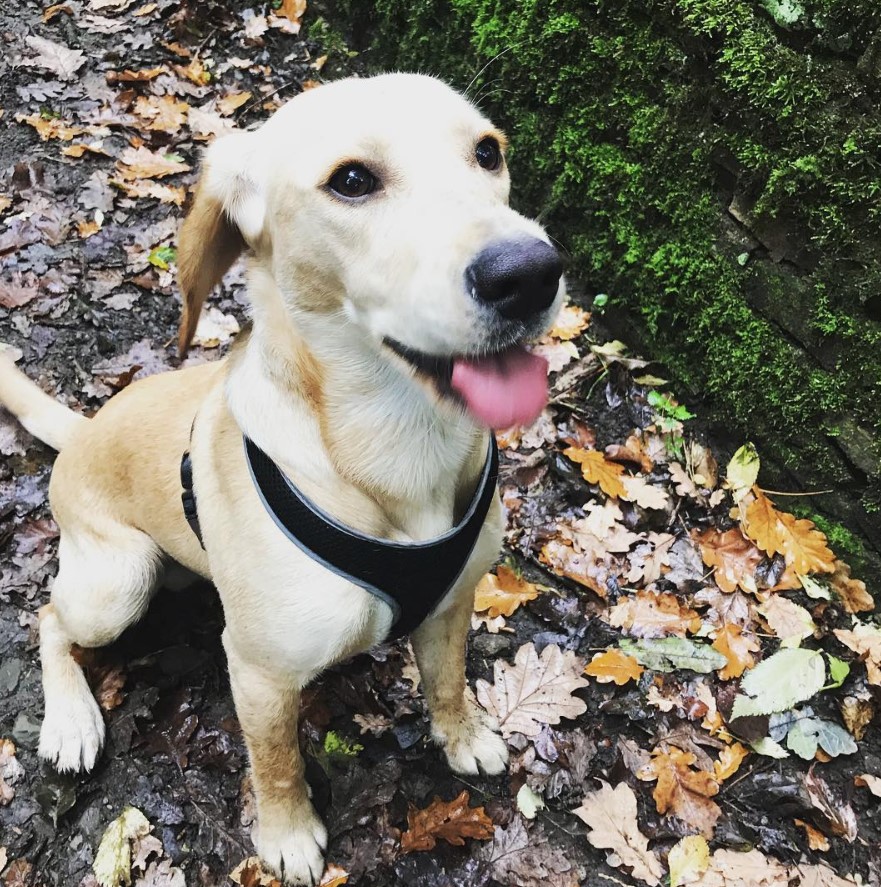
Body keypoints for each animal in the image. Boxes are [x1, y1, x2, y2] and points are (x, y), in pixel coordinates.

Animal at [0, 74, 564, 880]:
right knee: (48, 619)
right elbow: (276, 761)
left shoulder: (454, 605)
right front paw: (287, 835)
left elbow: (448, 681)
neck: (399, 446)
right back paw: (71, 719)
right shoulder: (262, 672)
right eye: (351, 180)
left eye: (488, 152)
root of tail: (82, 430)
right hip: (119, 580)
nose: (529, 273)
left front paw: (462, 735)